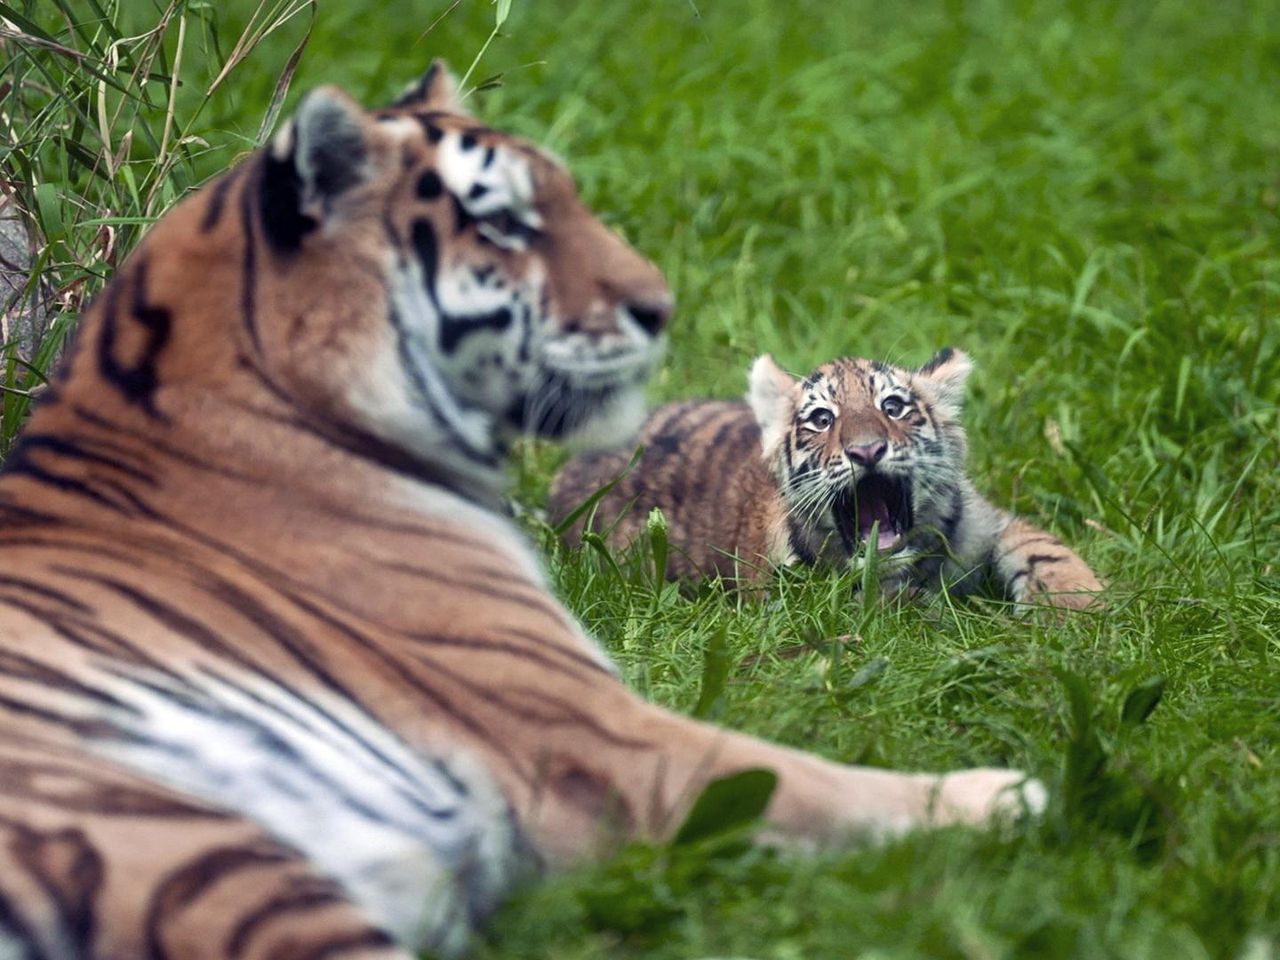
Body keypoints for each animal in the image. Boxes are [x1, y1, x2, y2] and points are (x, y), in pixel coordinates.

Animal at [0, 62, 1044, 960]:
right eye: (504, 222)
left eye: (896, 410)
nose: (662, 307)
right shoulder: (588, 725)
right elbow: (810, 775)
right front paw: (1007, 796)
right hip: (212, 869)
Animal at [550, 350, 1100, 611]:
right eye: (821, 419)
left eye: (892, 407)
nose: (867, 450)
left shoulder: (987, 520)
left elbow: (1045, 550)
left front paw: (1073, 613)